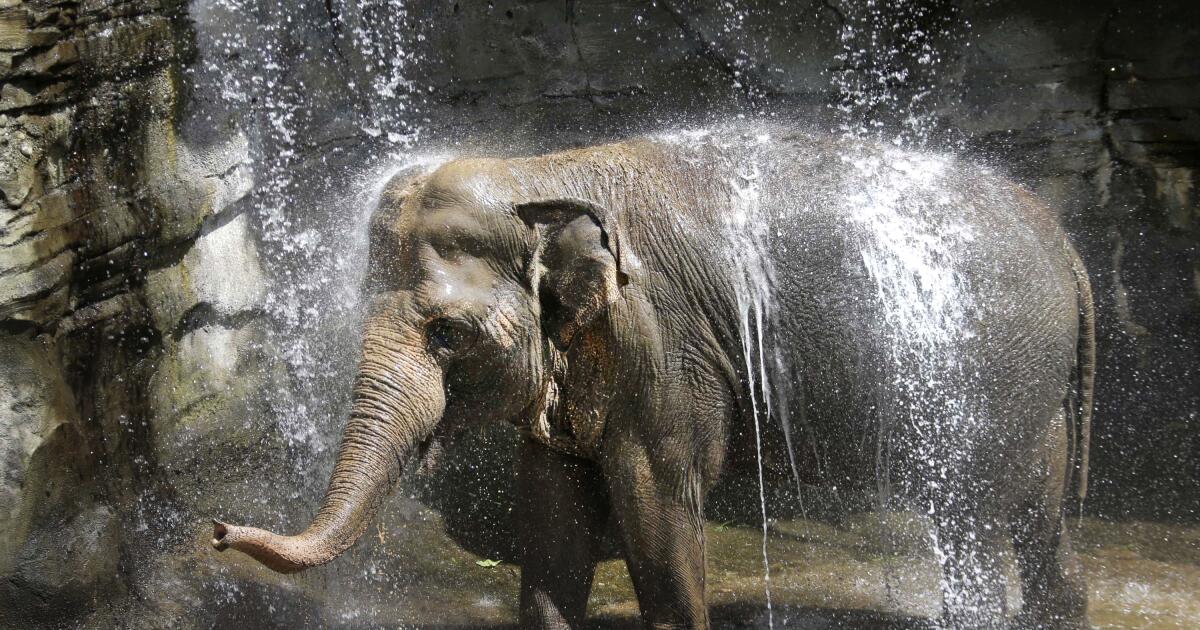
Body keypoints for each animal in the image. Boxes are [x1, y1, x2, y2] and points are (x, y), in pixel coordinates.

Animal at [211, 127, 1094, 629]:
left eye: (448, 334)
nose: (218, 530)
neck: (542, 175)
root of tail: (1066, 242)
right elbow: (554, 508)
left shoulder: (660, 344)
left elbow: (655, 501)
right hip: (1030, 385)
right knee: (1038, 513)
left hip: (988, 371)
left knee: (979, 509)